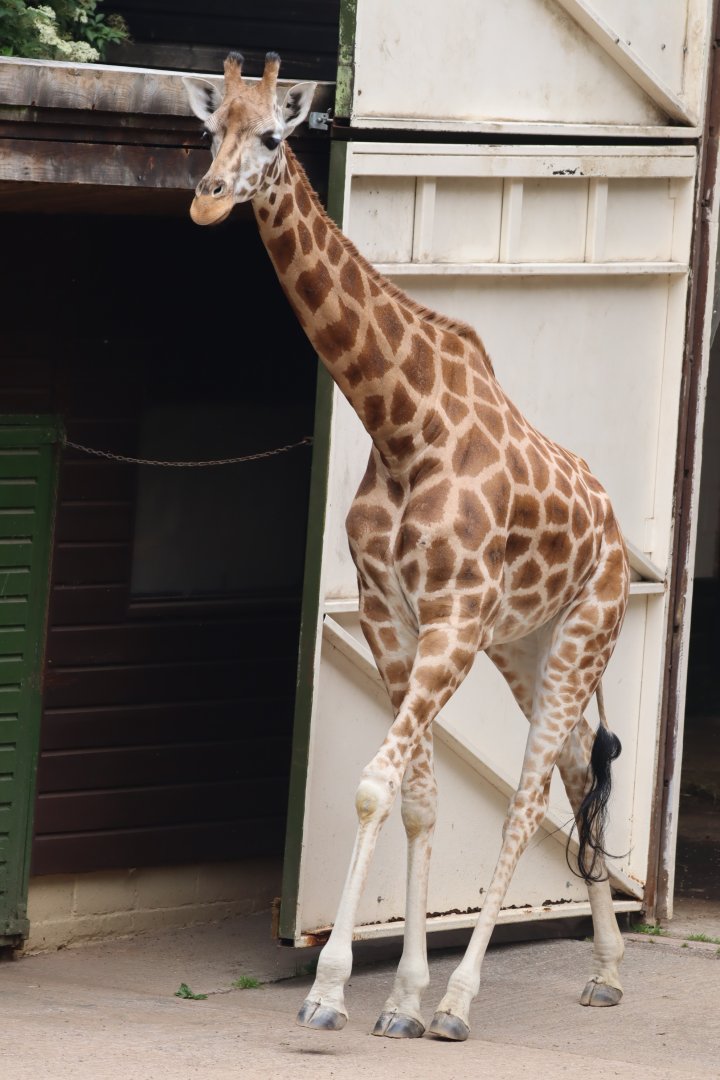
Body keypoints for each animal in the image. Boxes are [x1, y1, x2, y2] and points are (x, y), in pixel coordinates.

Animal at [184, 52, 630, 1042]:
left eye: (270, 136)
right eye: (209, 130)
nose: (207, 201)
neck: (401, 426)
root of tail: (619, 538)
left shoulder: (450, 620)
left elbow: (376, 785)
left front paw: (334, 991)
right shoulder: (391, 615)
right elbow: (417, 800)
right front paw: (395, 998)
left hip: (581, 636)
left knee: (528, 802)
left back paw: (465, 1003)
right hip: (528, 645)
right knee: (577, 766)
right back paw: (609, 970)